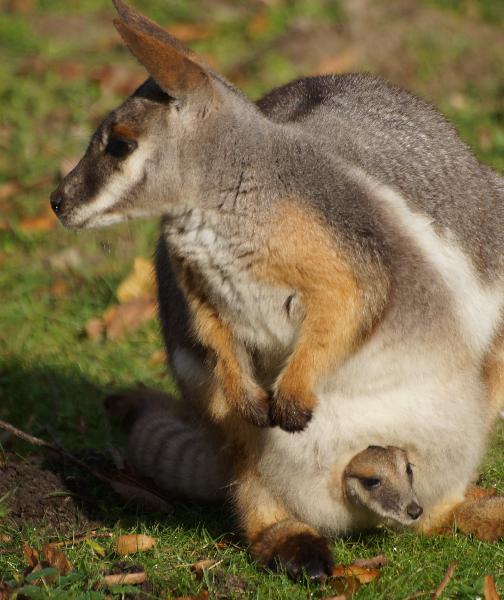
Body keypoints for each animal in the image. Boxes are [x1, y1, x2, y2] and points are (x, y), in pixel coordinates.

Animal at [51, 0, 504, 579]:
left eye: (120, 144)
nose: (56, 202)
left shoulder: (353, 258)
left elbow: (351, 306)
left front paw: (291, 403)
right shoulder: (190, 281)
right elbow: (213, 329)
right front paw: (260, 402)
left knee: (437, 514)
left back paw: (473, 511)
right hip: (217, 411)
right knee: (251, 472)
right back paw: (294, 544)